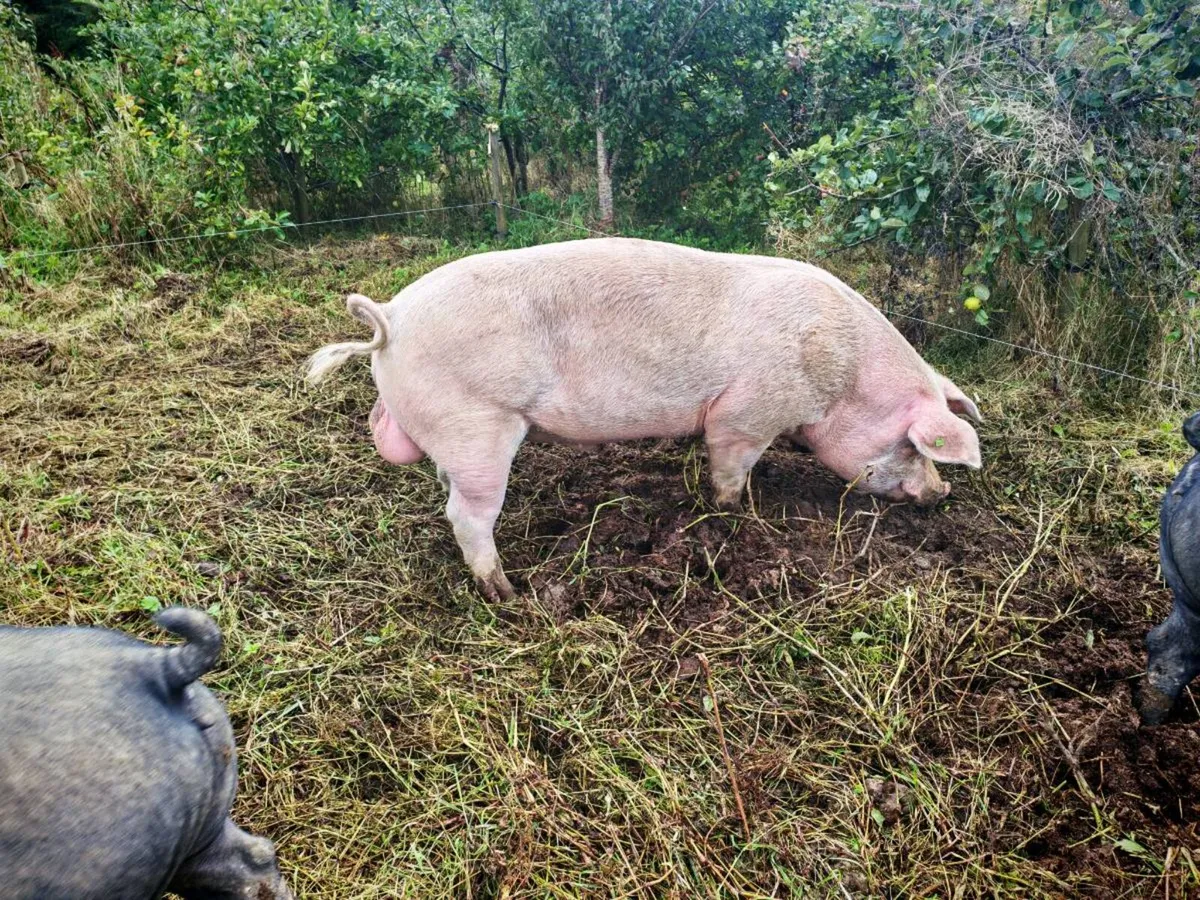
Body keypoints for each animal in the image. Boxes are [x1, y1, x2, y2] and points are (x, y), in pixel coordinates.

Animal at [306, 237, 983, 600]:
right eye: (914, 447)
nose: (941, 493)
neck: (841, 376)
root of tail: (391, 319)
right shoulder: (744, 415)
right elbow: (729, 473)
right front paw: (738, 516)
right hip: (479, 423)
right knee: (466, 515)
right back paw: (507, 593)